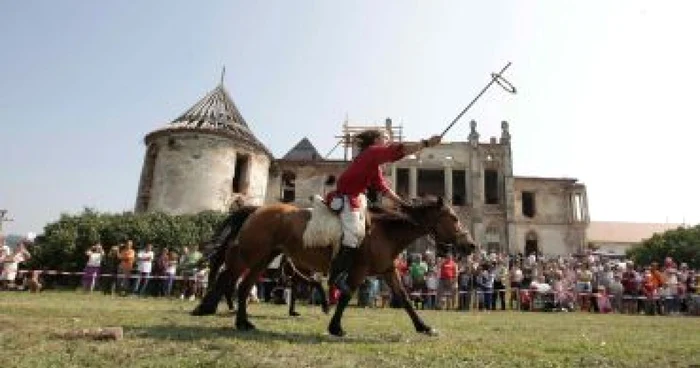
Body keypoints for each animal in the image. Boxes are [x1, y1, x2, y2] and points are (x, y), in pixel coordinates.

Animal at [216, 196, 476, 336]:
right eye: (453, 218)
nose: (471, 245)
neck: (385, 231)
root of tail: (256, 210)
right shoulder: (358, 271)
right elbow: (346, 294)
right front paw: (335, 327)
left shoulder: (388, 271)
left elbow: (404, 298)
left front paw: (423, 327)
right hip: (252, 255)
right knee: (232, 279)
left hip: (264, 258)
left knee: (243, 286)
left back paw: (243, 322)